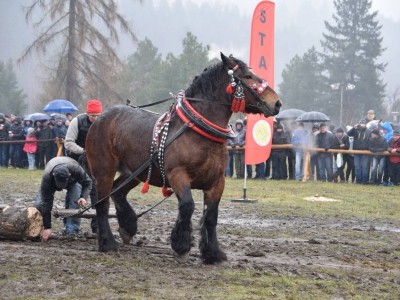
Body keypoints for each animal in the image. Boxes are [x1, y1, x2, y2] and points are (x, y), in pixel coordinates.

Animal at [86, 52, 282, 264]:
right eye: (247, 76)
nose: (277, 102)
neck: (199, 131)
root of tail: (100, 118)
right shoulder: (177, 175)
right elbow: (187, 205)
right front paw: (181, 246)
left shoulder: (217, 181)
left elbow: (211, 215)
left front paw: (213, 252)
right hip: (104, 171)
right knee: (102, 203)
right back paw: (108, 243)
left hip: (135, 172)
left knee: (118, 192)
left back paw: (127, 226)